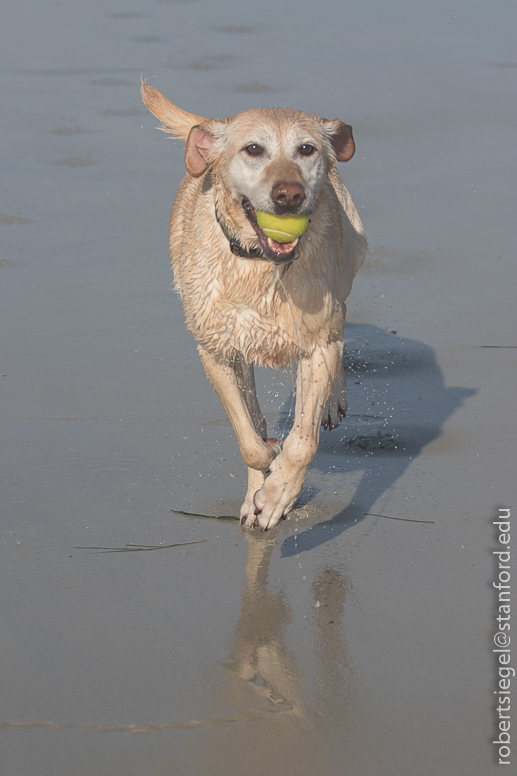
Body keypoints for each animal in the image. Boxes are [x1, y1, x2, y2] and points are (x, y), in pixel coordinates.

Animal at [142, 82, 366, 532]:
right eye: (253, 149)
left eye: (306, 149)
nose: (289, 194)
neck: (261, 265)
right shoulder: (217, 351)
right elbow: (252, 439)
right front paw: (263, 483)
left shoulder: (316, 343)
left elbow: (302, 440)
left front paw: (279, 495)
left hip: (348, 266)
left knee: (342, 322)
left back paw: (333, 402)